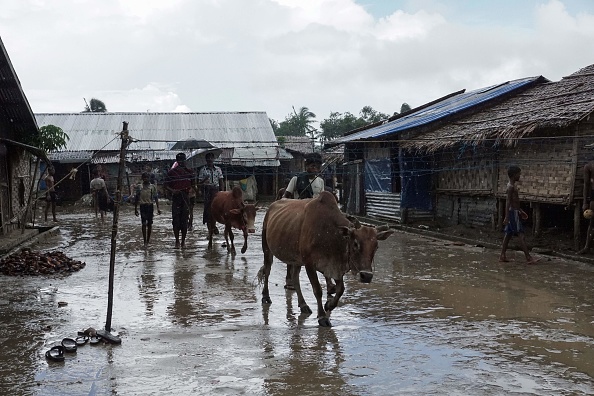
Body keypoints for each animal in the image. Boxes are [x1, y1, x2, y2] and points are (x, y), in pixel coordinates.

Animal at [260, 190, 394, 326]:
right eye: (355, 243)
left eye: (376, 246)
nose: (366, 276)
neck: (330, 234)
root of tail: (273, 204)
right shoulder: (309, 264)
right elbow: (318, 290)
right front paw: (322, 316)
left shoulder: (335, 266)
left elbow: (340, 289)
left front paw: (329, 305)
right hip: (267, 248)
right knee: (267, 270)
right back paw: (266, 297)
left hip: (296, 259)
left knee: (295, 277)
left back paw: (303, 305)